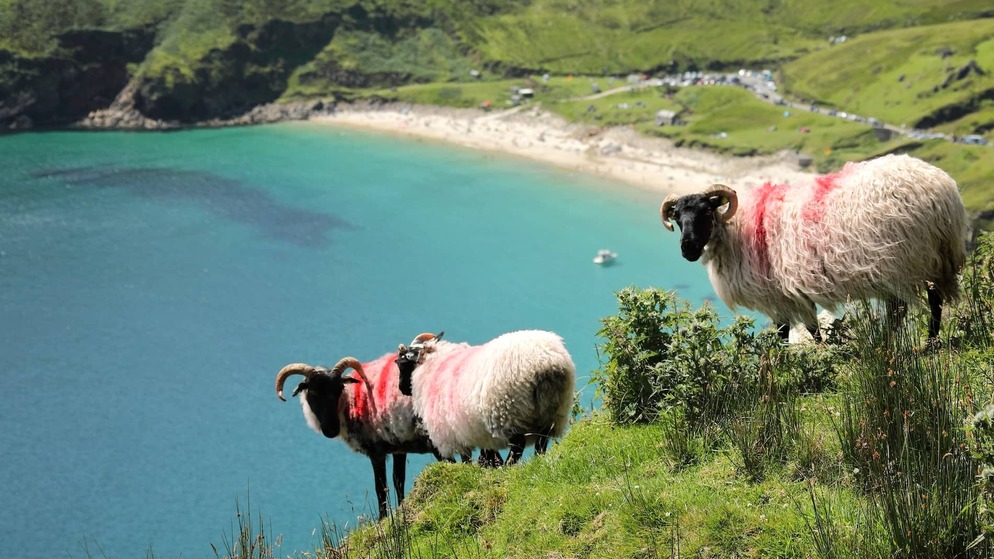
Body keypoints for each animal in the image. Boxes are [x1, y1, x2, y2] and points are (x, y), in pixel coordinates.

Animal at [274, 353, 438, 519]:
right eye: (313, 392)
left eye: (339, 389)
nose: (331, 430)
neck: (350, 404)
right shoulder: (399, 447)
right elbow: (398, 480)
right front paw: (401, 510)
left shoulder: (376, 452)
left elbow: (380, 488)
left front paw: (383, 518)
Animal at [394, 330, 576, 465]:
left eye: (402, 364)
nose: (402, 388)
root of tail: (546, 362)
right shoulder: (478, 433)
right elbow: (486, 456)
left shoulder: (453, 432)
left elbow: (466, 460)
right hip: (552, 410)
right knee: (542, 442)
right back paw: (538, 462)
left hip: (509, 412)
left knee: (518, 446)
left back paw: (508, 468)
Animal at [658, 154, 968, 343]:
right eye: (677, 217)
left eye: (706, 212)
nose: (688, 249)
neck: (737, 229)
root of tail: (941, 185)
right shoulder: (782, 295)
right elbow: (786, 332)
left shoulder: (788, 293)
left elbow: (806, 330)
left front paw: (817, 356)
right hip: (927, 257)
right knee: (919, 302)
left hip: (908, 257)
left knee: (921, 303)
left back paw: (922, 343)